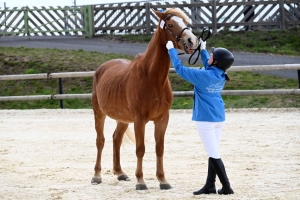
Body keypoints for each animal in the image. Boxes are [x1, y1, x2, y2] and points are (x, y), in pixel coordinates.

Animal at [91, 7, 199, 190]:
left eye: (185, 22)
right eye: (170, 24)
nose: (192, 41)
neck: (151, 77)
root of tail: (102, 68)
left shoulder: (162, 119)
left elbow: (159, 148)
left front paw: (163, 180)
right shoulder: (139, 119)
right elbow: (140, 148)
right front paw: (140, 181)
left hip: (123, 118)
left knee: (116, 139)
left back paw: (120, 173)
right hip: (99, 113)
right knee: (100, 141)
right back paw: (96, 176)